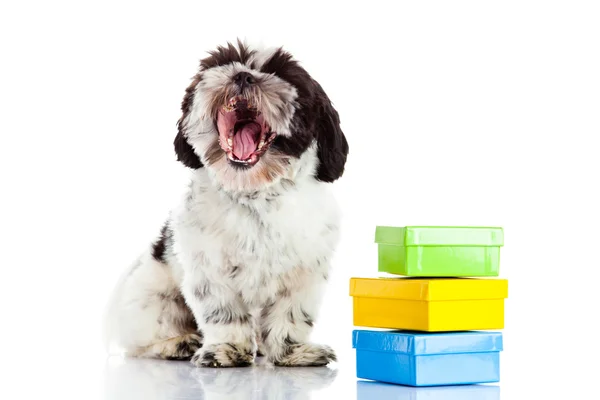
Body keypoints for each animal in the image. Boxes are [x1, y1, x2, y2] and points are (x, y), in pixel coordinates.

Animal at [102, 40, 346, 368]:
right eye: (223, 64)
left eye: (280, 73)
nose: (243, 76)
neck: (255, 194)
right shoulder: (209, 271)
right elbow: (223, 313)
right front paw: (227, 349)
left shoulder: (304, 274)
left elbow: (292, 315)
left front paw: (293, 352)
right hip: (152, 298)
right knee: (142, 343)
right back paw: (179, 343)